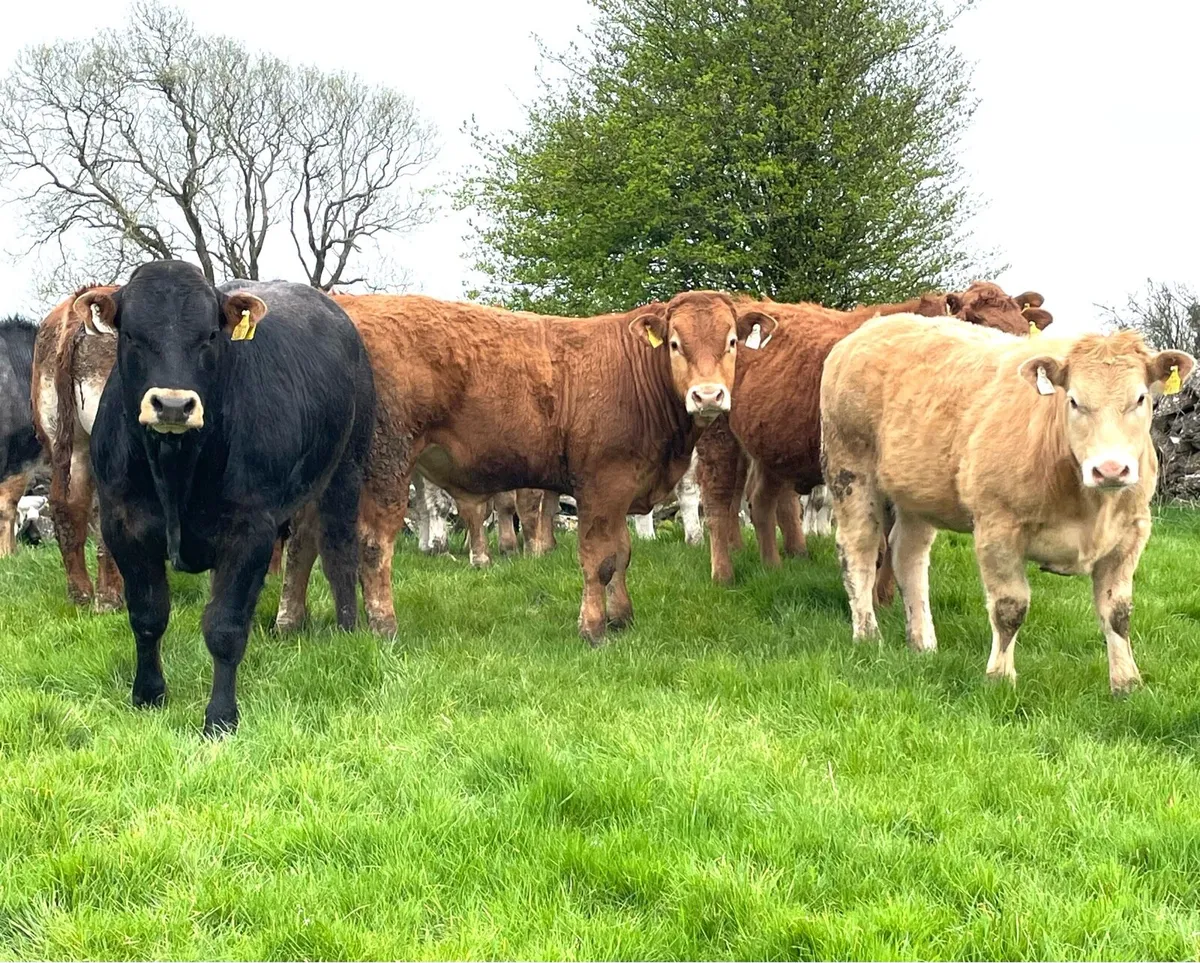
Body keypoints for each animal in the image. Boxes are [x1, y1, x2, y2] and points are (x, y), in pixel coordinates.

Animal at [85, 261, 375, 735]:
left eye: (209, 335)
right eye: (131, 335)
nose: (173, 405)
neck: (176, 467)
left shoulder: (250, 529)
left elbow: (224, 626)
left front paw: (220, 716)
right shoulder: (123, 524)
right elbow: (147, 615)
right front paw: (148, 694)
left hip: (346, 469)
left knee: (339, 549)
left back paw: (348, 627)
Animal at [276, 290, 752, 644]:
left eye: (731, 342)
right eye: (675, 343)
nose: (708, 396)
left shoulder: (621, 486)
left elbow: (622, 553)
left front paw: (622, 617)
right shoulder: (603, 481)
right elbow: (599, 558)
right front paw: (593, 629)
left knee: (304, 538)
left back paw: (290, 621)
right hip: (387, 459)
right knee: (373, 543)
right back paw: (384, 626)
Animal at [696, 283, 1053, 586]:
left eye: (1024, 333)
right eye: (975, 323)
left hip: (771, 445)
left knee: (762, 501)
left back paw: (776, 565)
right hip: (718, 434)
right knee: (718, 501)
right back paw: (723, 574)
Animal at [820, 316, 1193, 692]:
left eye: (1141, 398)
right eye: (1073, 400)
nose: (1111, 469)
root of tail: (875, 325)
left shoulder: (1132, 532)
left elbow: (1117, 612)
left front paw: (1127, 683)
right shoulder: (997, 528)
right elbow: (1009, 608)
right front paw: (999, 678)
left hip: (918, 494)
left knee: (908, 557)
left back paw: (923, 643)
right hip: (850, 469)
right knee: (859, 551)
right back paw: (868, 635)